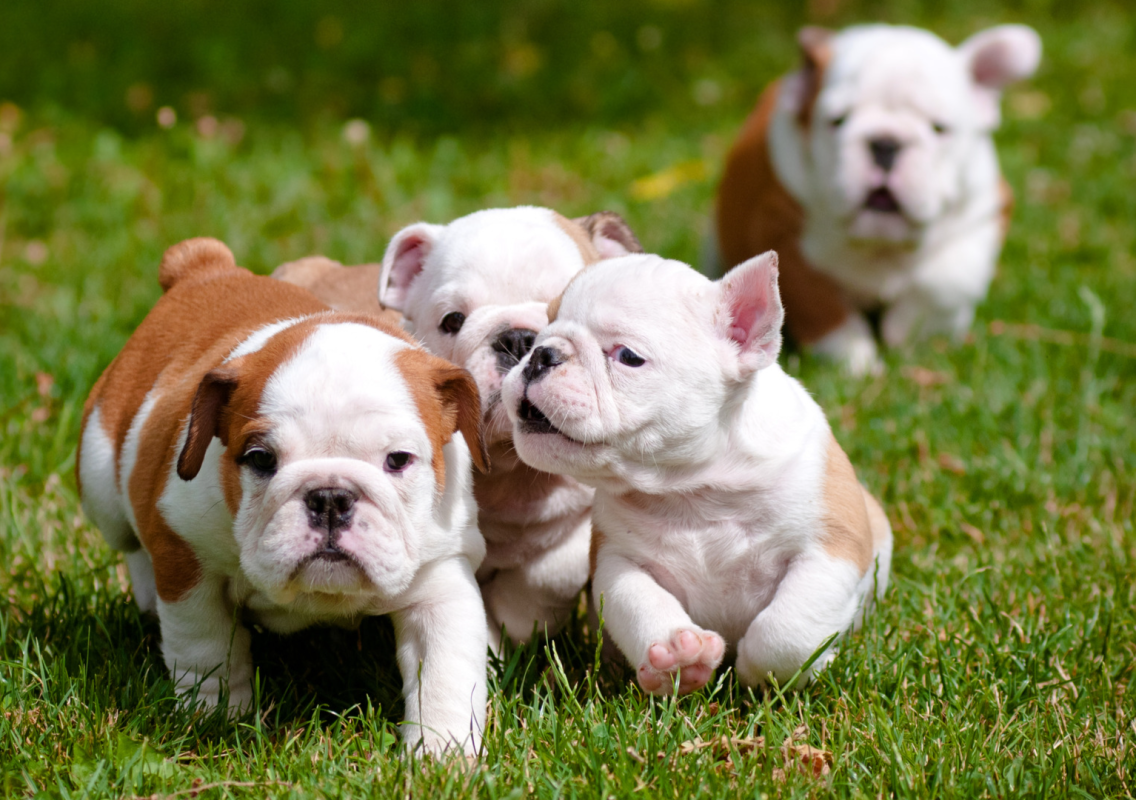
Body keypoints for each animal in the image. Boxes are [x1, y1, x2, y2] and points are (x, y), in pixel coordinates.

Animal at [78, 237, 488, 754]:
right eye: (260, 459)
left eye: (398, 460)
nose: (330, 497)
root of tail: (203, 269)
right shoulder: (187, 559)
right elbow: (205, 647)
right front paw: (214, 717)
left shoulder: (441, 577)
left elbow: (444, 674)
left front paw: (442, 753)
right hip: (100, 478)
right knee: (130, 541)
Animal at [502, 251, 890, 695]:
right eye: (539, 334)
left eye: (628, 356)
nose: (540, 355)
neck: (692, 487)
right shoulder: (617, 561)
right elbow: (640, 603)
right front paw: (677, 655)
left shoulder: (830, 549)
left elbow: (787, 630)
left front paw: (763, 672)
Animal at [713, 24, 1040, 375]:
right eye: (837, 121)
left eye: (939, 128)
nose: (885, 143)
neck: (882, 245)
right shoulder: (782, 232)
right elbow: (819, 302)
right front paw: (854, 359)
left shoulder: (984, 211)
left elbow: (946, 279)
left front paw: (912, 334)